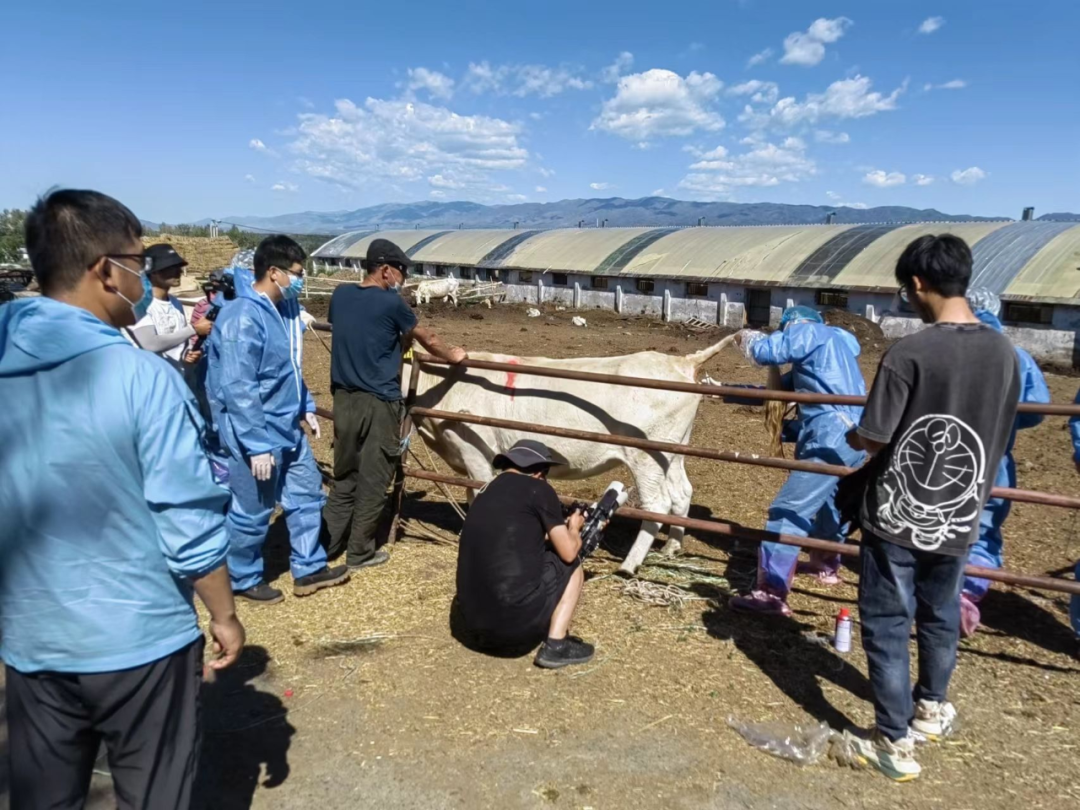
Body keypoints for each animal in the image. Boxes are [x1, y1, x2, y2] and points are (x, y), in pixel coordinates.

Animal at [403, 339, 734, 574]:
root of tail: (680, 360)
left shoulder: (476, 454)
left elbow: (477, 494)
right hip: (674, 451)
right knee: (682, 492)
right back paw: (672, 547)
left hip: (647, 455)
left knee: (658, 503)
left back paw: (629, 565)